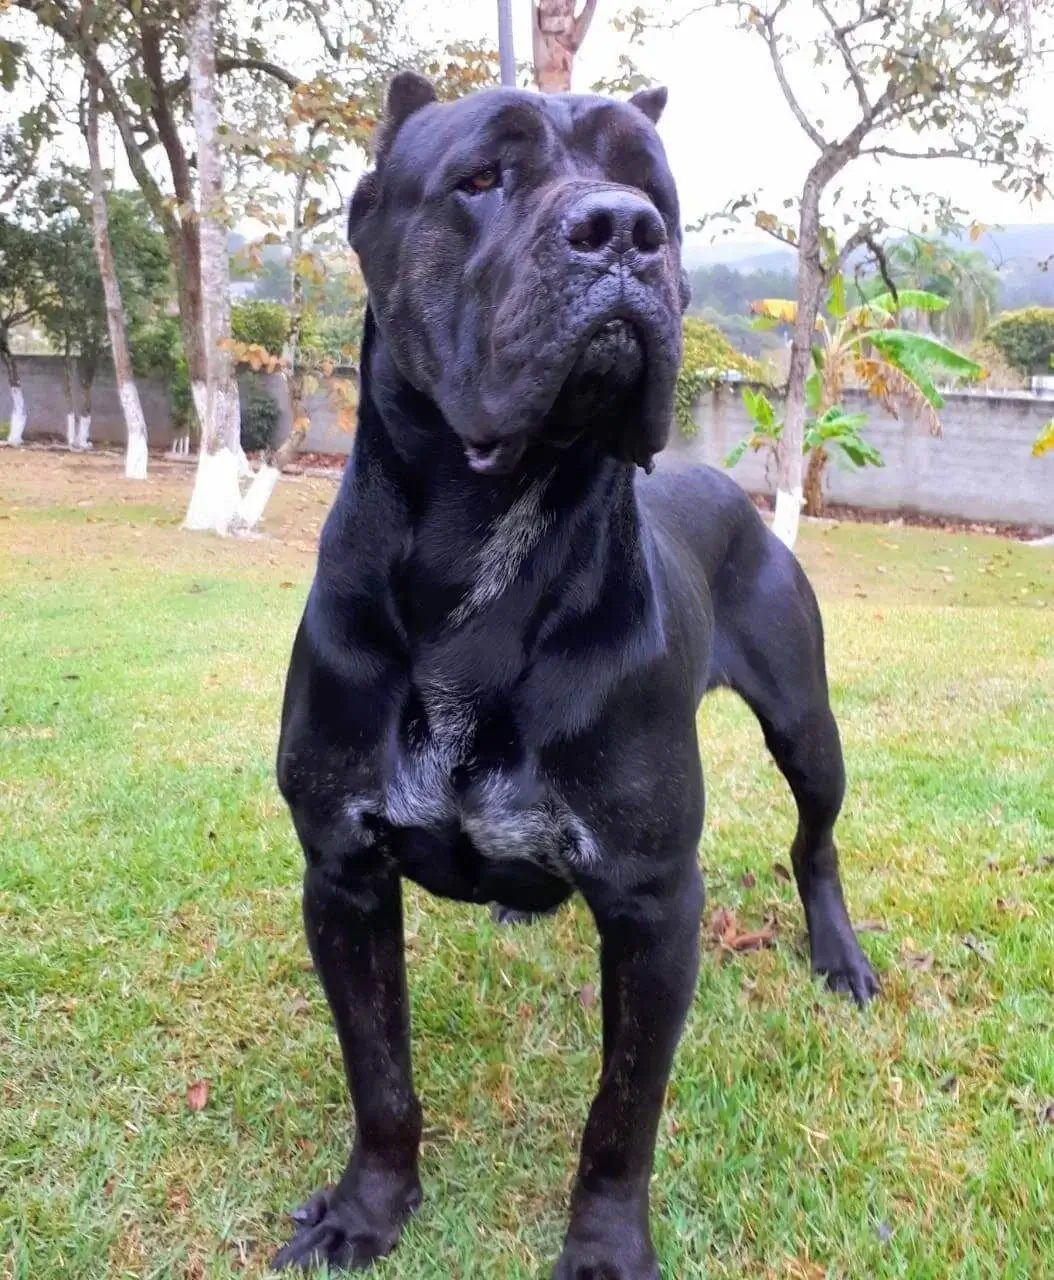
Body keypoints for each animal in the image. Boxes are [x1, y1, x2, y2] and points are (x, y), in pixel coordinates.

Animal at [274, 74, 881, 1274]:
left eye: (653, 188)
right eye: (479, 177)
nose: (621, 228)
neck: (490, 540)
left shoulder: (654, 905)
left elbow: (621, 1112)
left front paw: (603, 1245)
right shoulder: (343, 874)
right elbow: (381, 1076)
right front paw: (369, 1209)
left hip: (807, 724)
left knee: (815, 841)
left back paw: (836, 953)